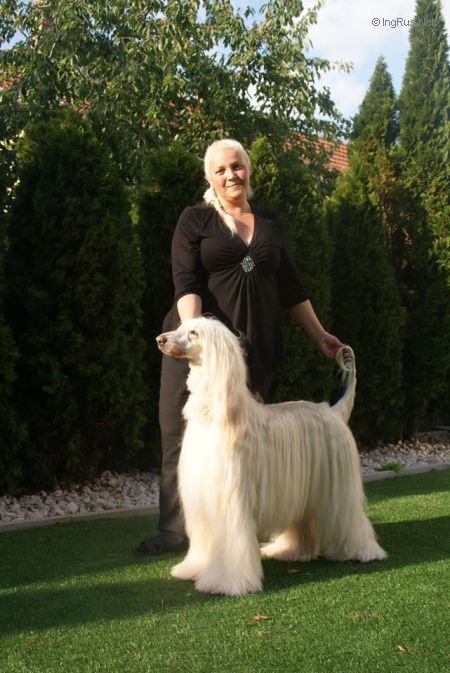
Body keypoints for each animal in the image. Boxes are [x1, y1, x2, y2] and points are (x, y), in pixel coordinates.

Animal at [156, 316, 387, 596]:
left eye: (193, 332)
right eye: (181, 326)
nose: (160, 339)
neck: (216, 414)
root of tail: (333, 411)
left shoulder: (231, 499)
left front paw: (226, 583)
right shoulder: (204, 499)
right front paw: (194, 569)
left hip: (338, 486)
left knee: (350, 517)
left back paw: (364, 551)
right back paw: (291, 551)